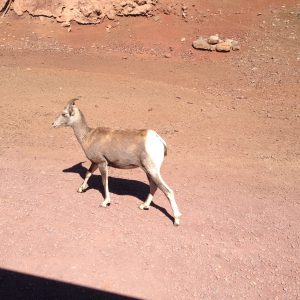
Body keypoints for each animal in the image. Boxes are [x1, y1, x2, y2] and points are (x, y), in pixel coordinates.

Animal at [52, 98, 182, 225]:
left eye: (64, 114)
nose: (53, 124)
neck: (88, 136)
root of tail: (159, 141)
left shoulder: (102, 163)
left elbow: (105, 182)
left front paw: (105, 203)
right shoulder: (95, 162)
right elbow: (88, 173)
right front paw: (81, 189)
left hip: (152, 170)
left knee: (168, 191)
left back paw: (176, 220)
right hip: (148, 171)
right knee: (154, 186)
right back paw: (143, 206)